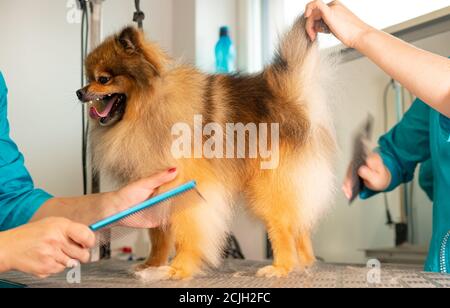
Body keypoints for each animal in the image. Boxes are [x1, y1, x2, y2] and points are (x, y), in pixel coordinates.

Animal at [77, 15, 336, 280]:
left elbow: (186, 232)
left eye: (103, 79)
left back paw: (281, 267)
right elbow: (158, 235)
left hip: (269, 186)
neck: (150, 107)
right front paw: (152, 264)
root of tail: (290, 97)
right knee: (298, 226)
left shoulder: (187, 186)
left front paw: (179, 268)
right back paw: (303, 262)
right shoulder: (155, 189)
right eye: (88, 78)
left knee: (282, 226)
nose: (79, 92)